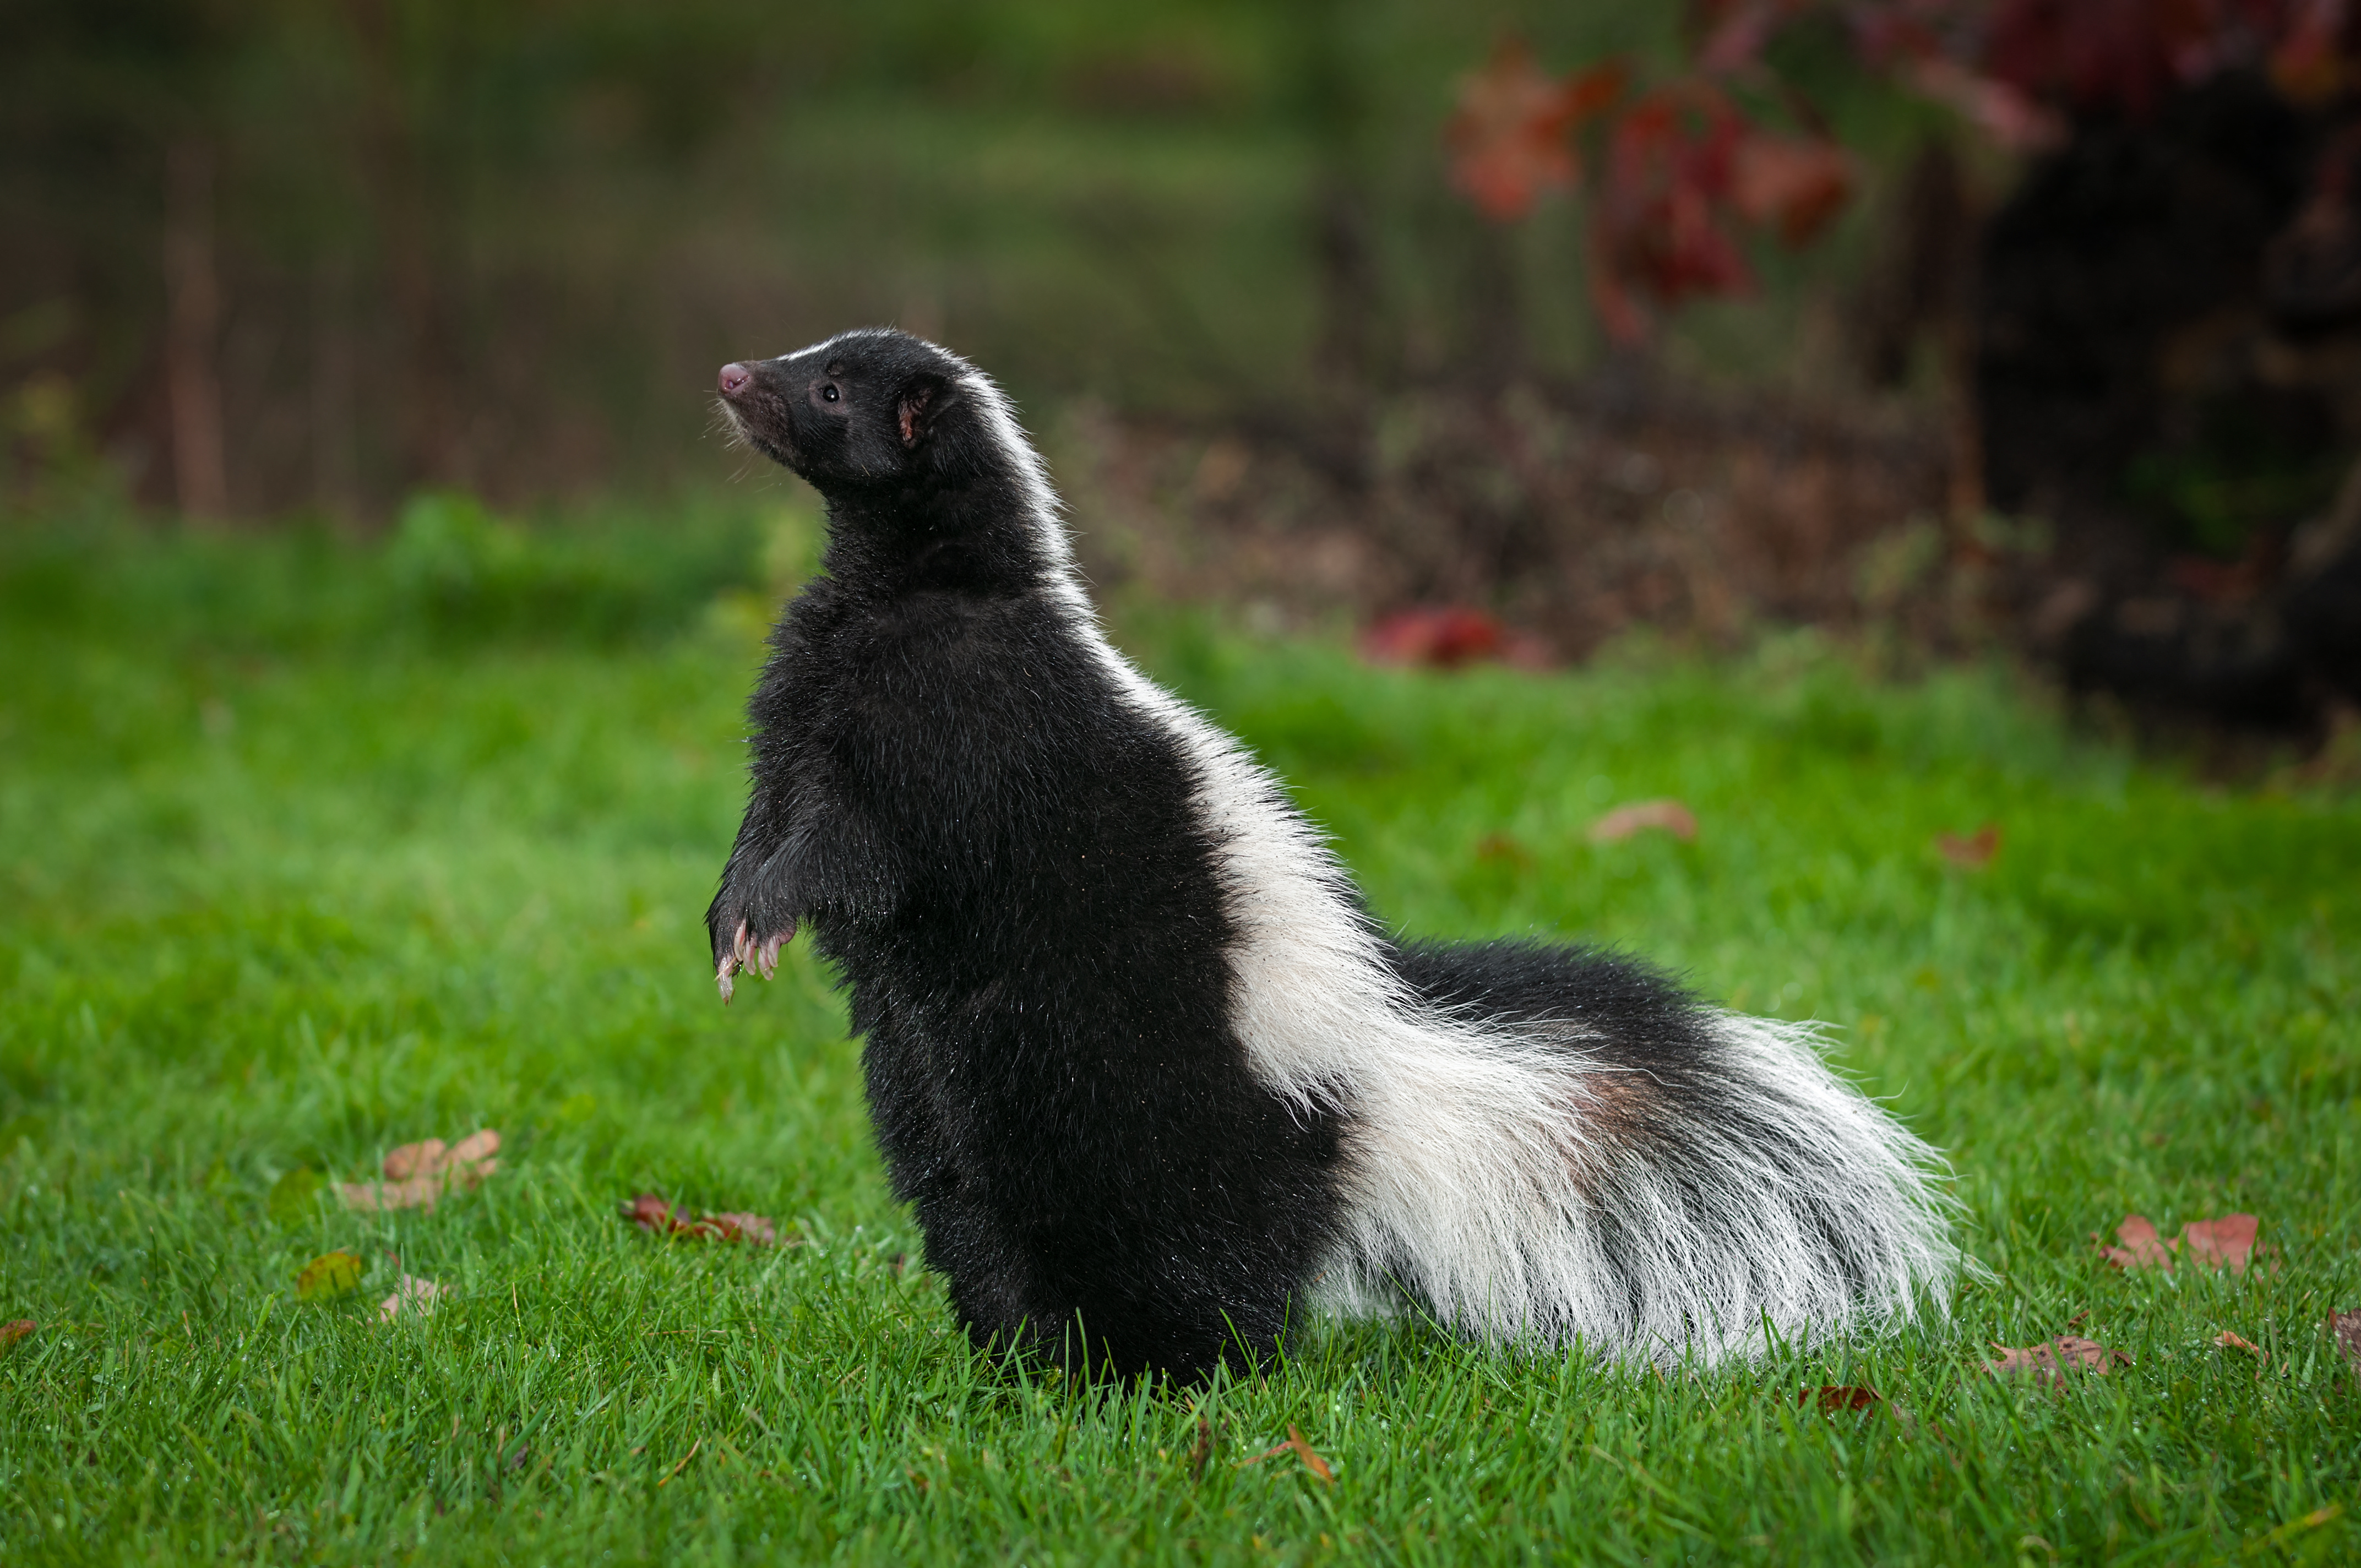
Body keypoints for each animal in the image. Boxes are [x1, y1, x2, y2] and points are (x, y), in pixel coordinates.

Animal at [703, 323, 1955, 1379]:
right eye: (811, 359)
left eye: (828, 389)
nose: (731, 374)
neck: (925, 588)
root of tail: (1373, 1087)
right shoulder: (806, 711)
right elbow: (771, 816)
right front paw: (730, 917)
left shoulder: (957, 734)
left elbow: (851, 848)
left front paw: (764, 918)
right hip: (948, 1097)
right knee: (973, 1207)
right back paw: (1017, 1362)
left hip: (1140, 1102)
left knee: (1172, 1251)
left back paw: (1149, 1377)